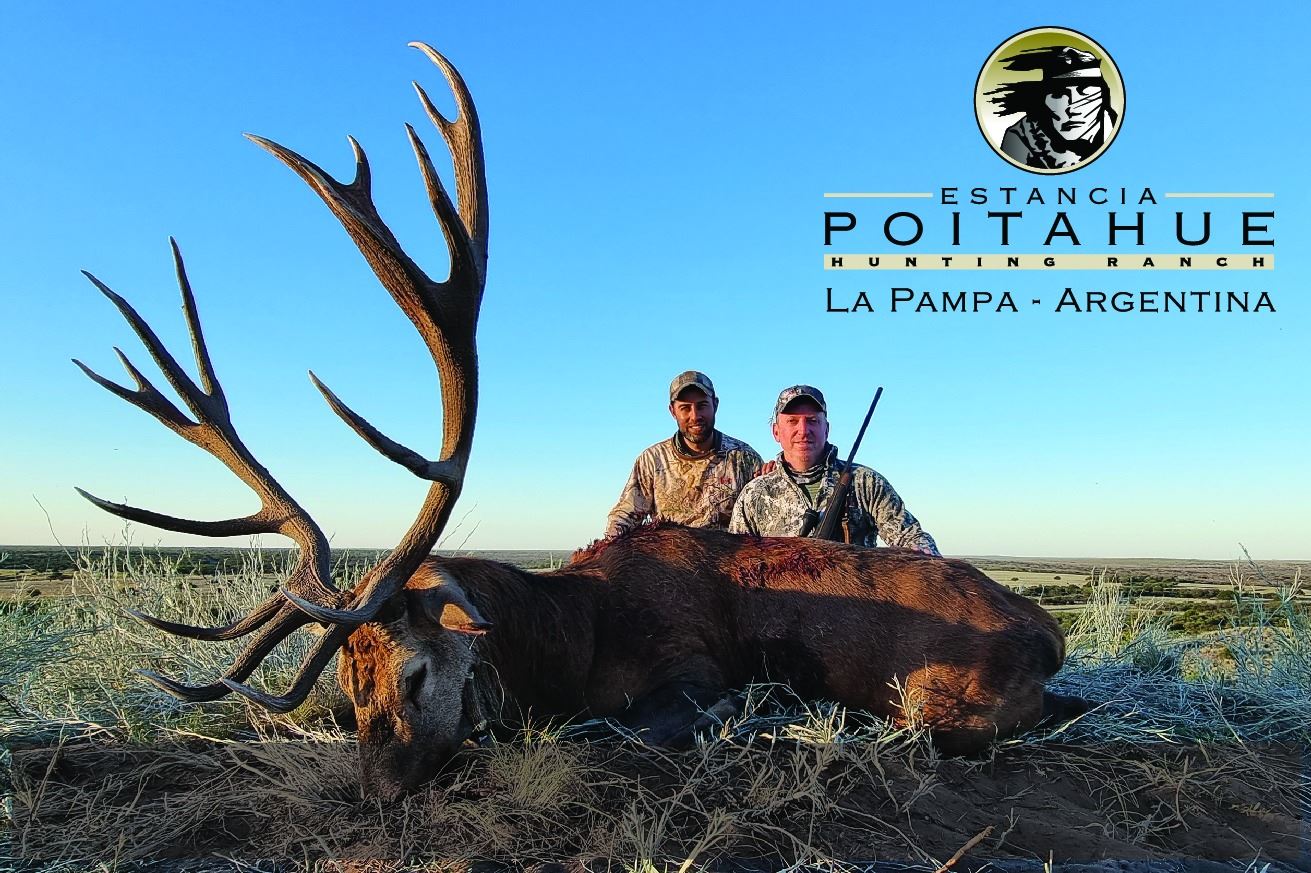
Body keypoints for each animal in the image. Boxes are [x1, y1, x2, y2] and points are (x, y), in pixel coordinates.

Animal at [75, 43, 1075, 801]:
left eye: (414, 672)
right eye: (347, 689)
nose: (378, 791)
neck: (576, 631)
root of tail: (1048, 632)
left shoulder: (689, 670)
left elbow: (609, 727)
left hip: (935, 695)